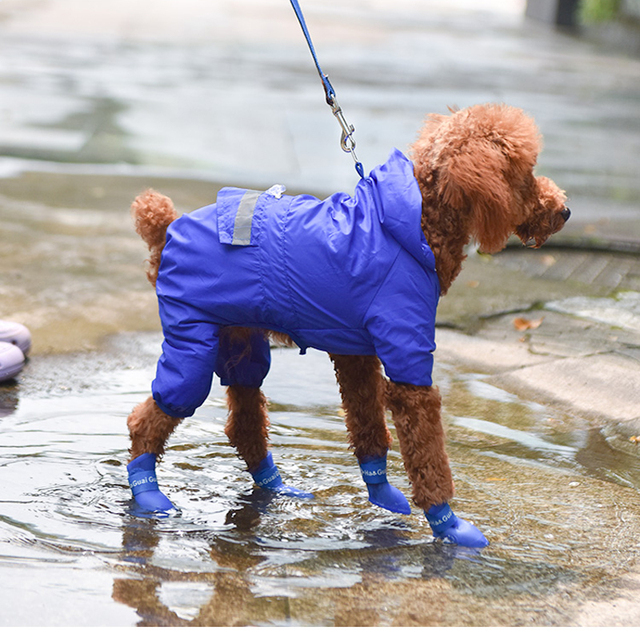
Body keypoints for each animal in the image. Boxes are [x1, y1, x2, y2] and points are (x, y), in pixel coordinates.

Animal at [126, 102, 568, 548]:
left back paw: (278, 488)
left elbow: (368, 424)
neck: (415, 222)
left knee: (245, 419)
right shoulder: (407, 361)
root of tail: (167, 230)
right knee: (148, 418)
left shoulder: (356, 351)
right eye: (524, 172)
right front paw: (448, 524)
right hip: (193, 340)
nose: (564, 211)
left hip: (239, 340)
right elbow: (426, 454)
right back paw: (149, 495)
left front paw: (382, 493)